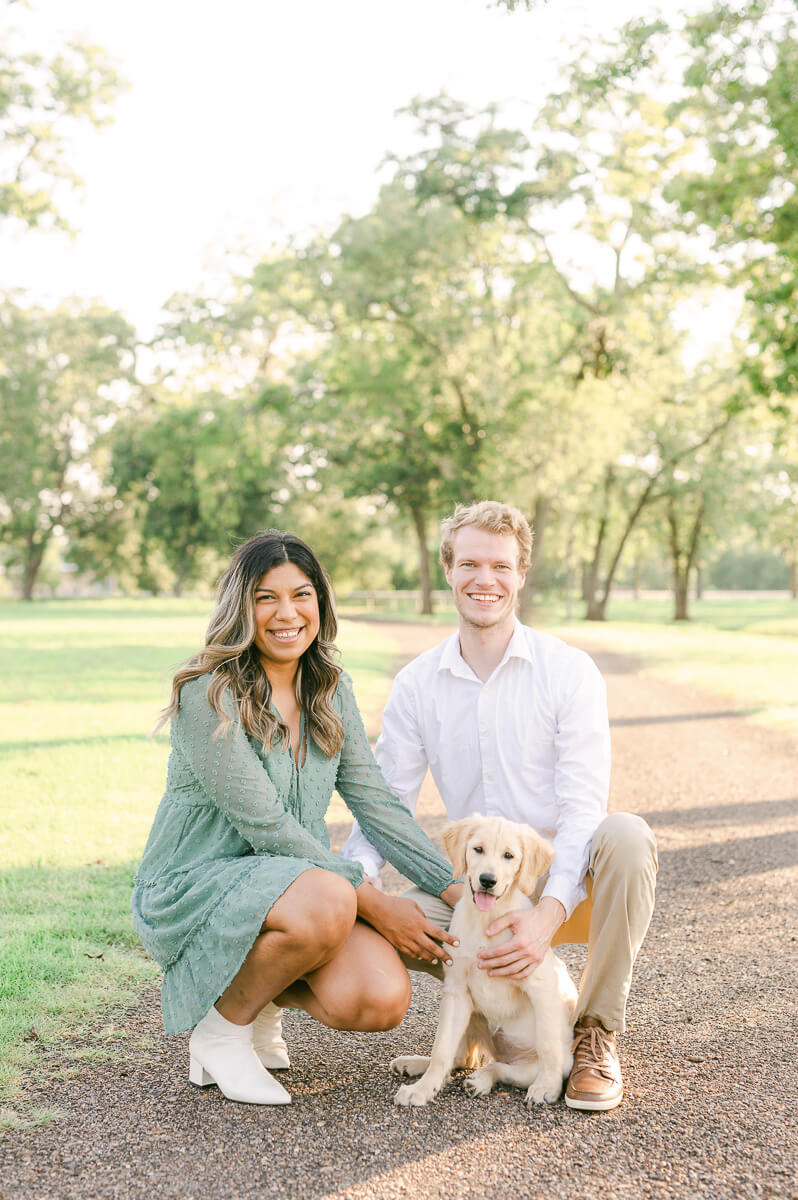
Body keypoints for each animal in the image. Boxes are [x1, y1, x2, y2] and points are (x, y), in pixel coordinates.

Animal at [391, 816, 573, 1104]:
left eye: (509, 856)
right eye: (478, 850)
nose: (487, 880)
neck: (486, 919)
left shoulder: (542, 985)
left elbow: (548, 1044)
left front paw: (548, 1086)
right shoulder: (456, 991)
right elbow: (441, 1049)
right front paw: (423, 1088)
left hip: (528, 1066)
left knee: (501, 1068)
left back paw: (483, 1080)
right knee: (461, 1058)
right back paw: (416, 1064)